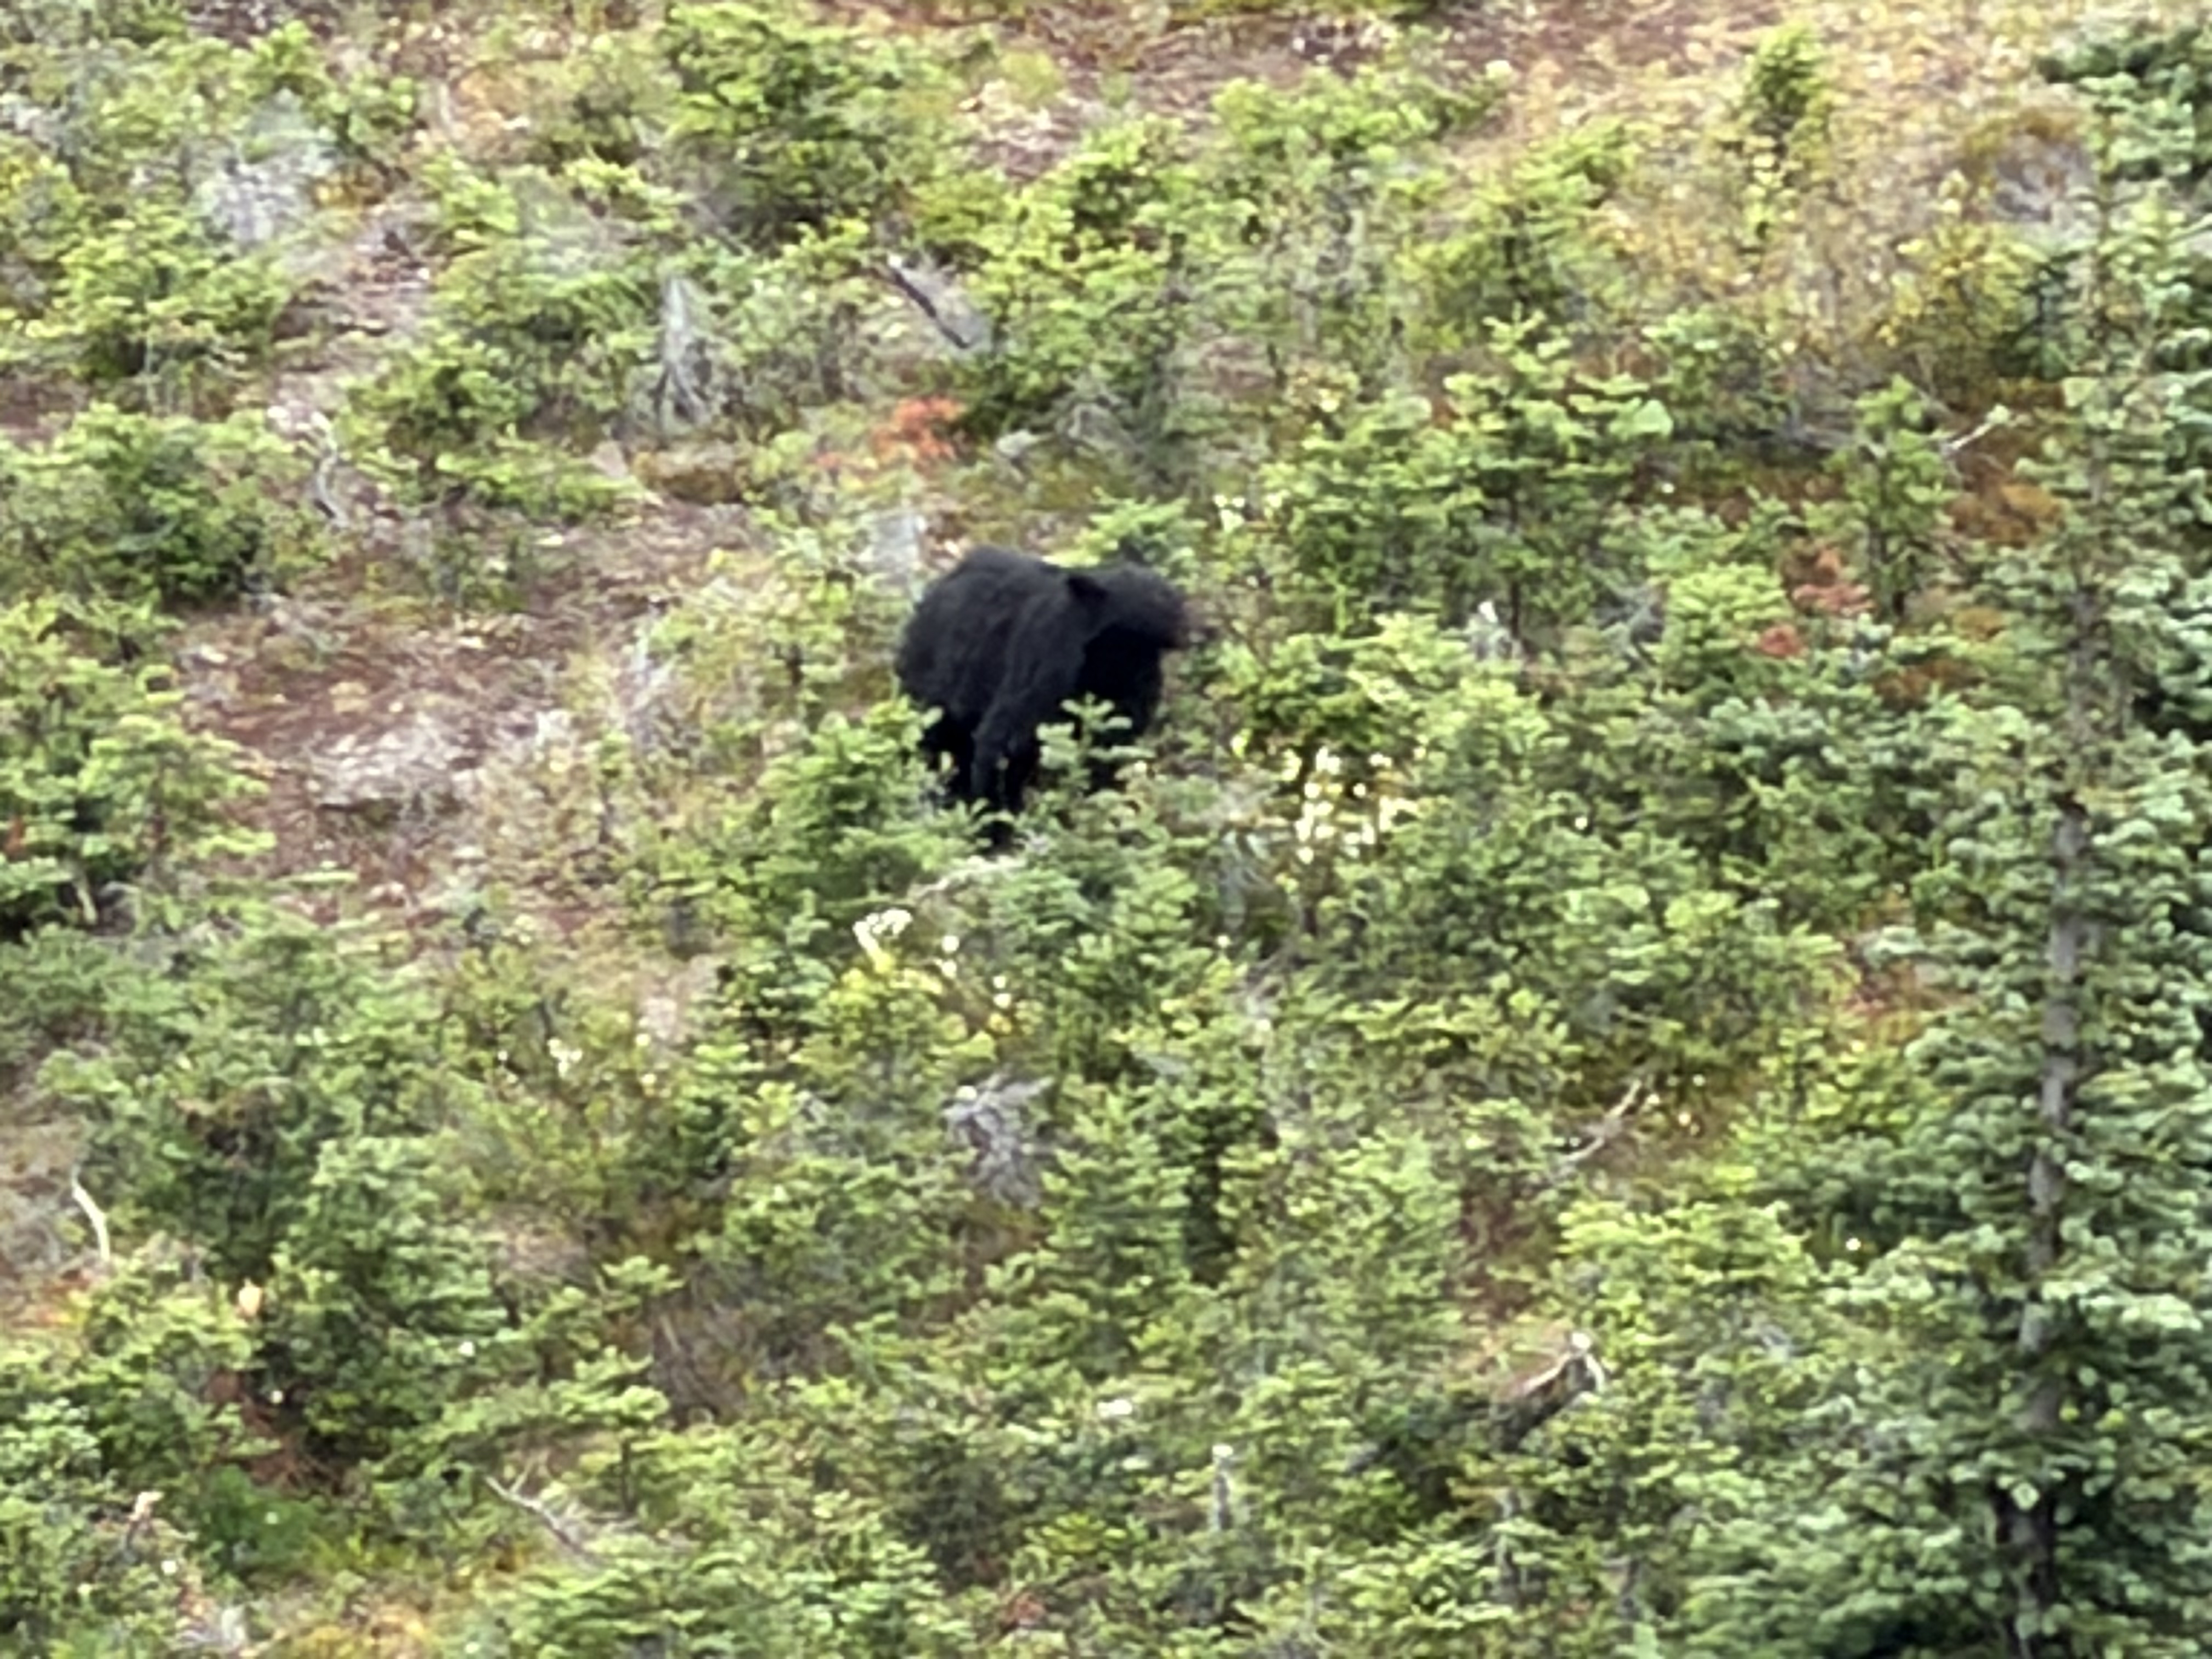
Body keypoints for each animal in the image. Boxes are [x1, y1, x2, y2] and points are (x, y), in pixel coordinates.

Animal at [895, 546, 1193, 829]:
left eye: (1169, 591)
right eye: (1160, 596)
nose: (1191, 623)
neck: (1112, 654)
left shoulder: (1132, 680)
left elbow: (1114, 740)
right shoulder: (1047, 656)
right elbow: (1006, 738)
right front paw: (993, 821)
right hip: (933, 681)